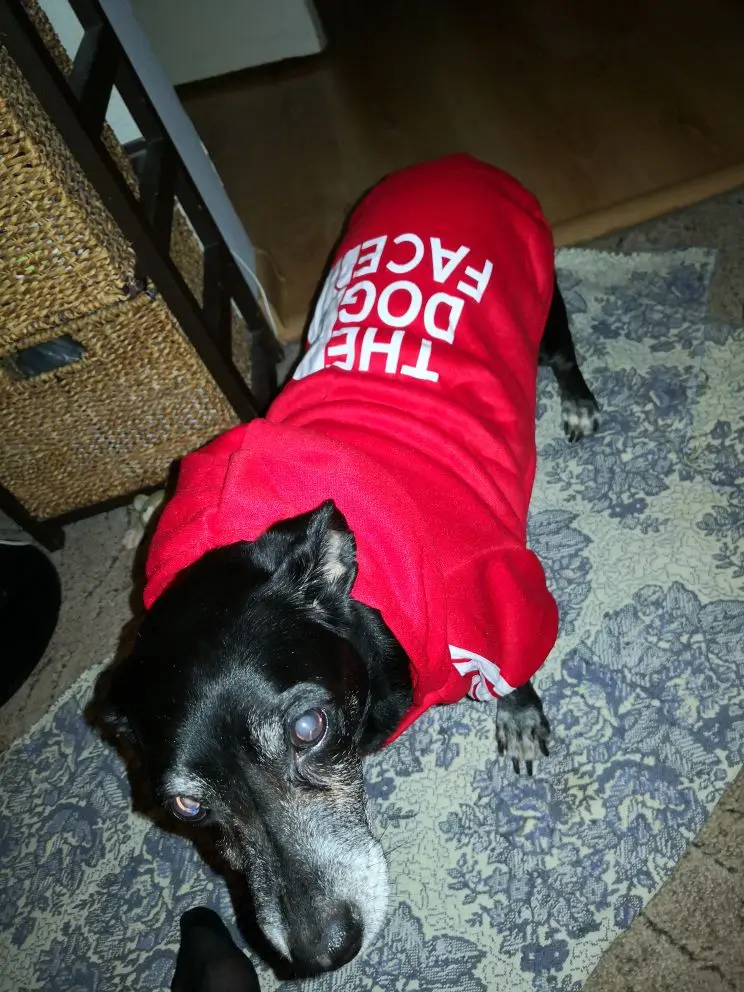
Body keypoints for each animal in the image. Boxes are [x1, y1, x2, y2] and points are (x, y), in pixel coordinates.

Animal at [102, 155, 599, 977]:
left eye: (308, 728)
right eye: (187, 808)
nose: (322, 952)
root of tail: (451, 164)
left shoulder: (494, 591)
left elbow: (513, 665)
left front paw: (518, 713)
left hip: (543, 295)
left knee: (561, 353)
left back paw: (580, 402)